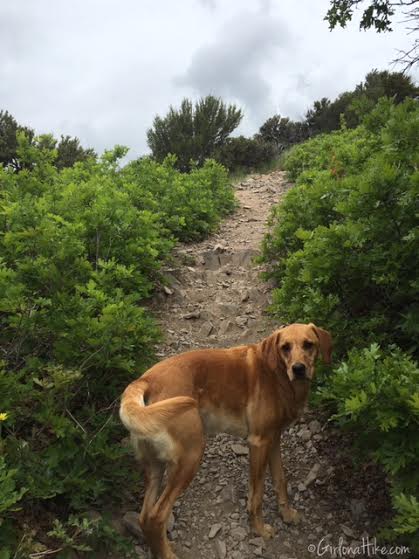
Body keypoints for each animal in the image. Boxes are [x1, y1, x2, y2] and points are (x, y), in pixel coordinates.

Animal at [120, 324, 334, 559]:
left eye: (308, 344)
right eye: (285, 347)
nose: (298, 369)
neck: (278, 375)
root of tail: (145, 380)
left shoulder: (274, 440)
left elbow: (280, 481)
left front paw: (286, 514)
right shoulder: (258, 443)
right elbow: (256, 494)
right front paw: (259, 530)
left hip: (155, 468)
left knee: (145, 518)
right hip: (190, 459)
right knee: (157, 516)